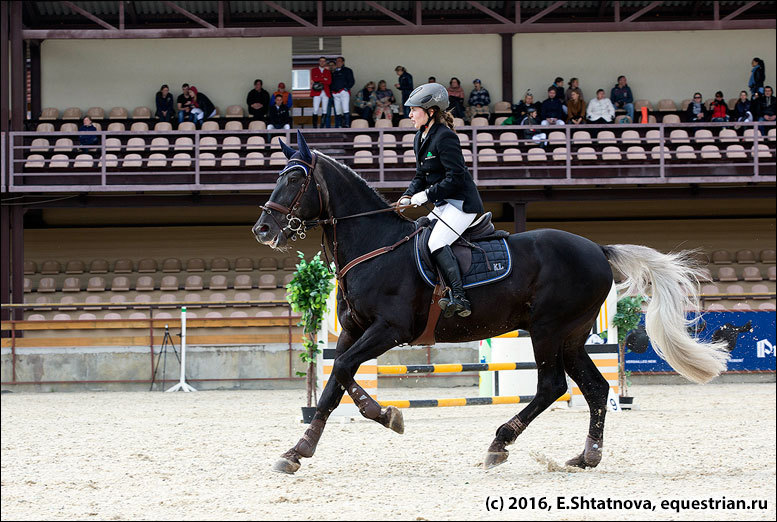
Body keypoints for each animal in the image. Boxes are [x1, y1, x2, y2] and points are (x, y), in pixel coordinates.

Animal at [252, 130, 732, 472]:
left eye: (294, 178)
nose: (263, 230)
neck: (376, 245)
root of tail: (598, 249)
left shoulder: (389, 330)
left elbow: (343, 371)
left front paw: (370, 422)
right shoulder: (354, 330)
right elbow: (337, 378)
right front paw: (311, 445)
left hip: (548, 330)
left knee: (552, 386)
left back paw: (500, 443)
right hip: (572, 336)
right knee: (594, 388)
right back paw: (586, 456)